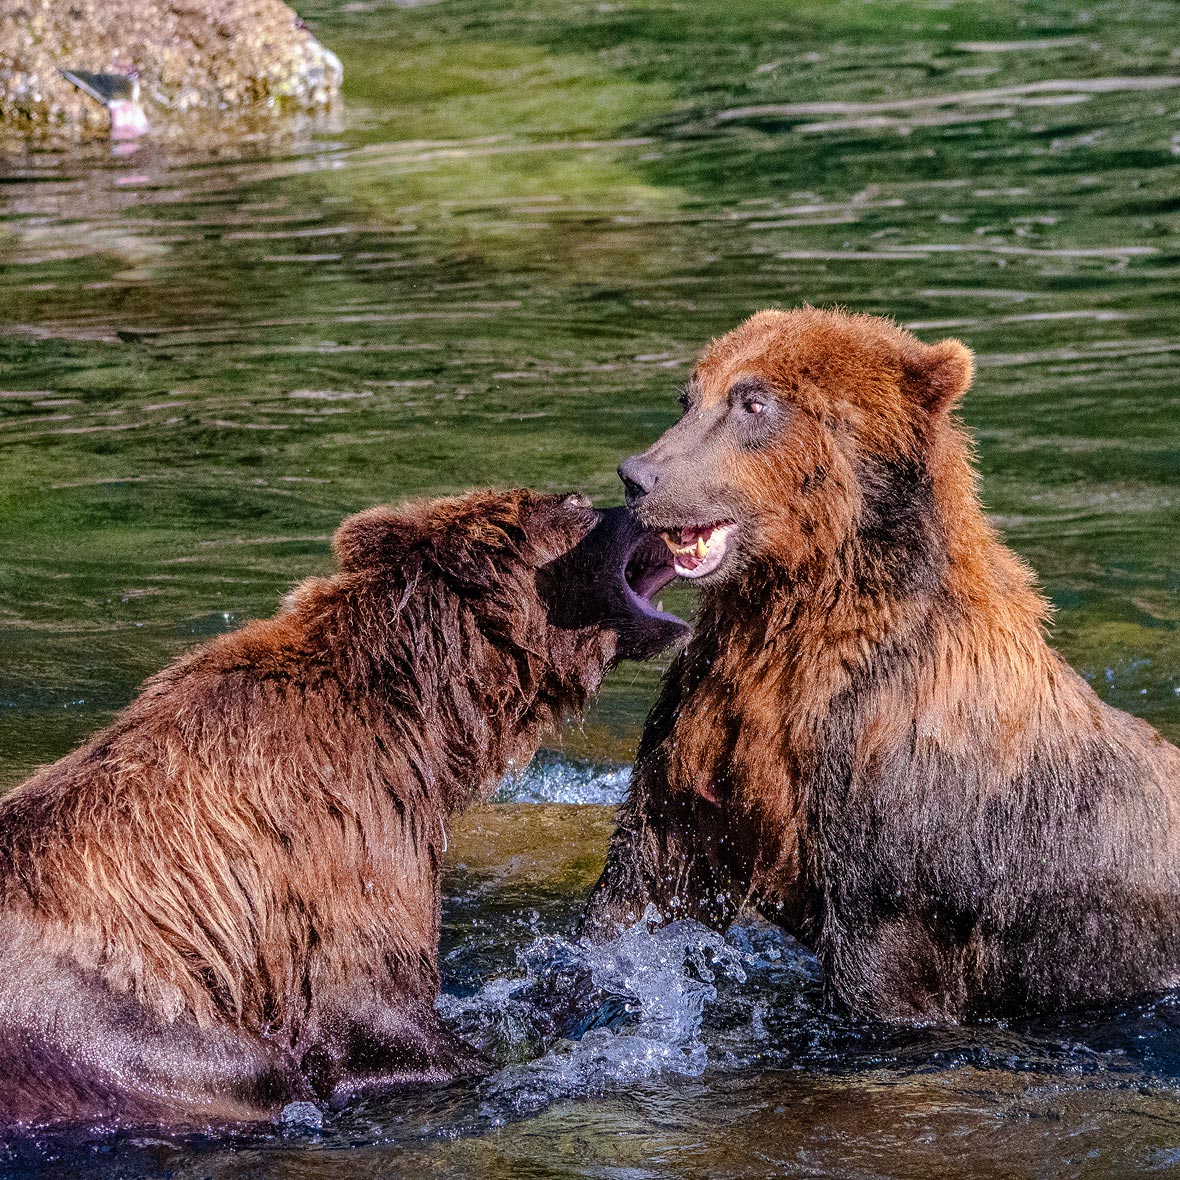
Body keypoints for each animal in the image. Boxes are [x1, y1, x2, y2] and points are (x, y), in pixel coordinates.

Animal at [0, 488, 687, 1131]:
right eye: (572, 502)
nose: (634, 492)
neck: (425, 718)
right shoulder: (350, 837)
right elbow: (376, 1006)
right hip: (107, 1025)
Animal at [583, 306, 1180, 1024]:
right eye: (688, 397)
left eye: (754, 401)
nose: (639, 475)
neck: (798, 619)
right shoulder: (704, 722)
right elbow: (646, 875)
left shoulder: (892, 786)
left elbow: (881, 966)